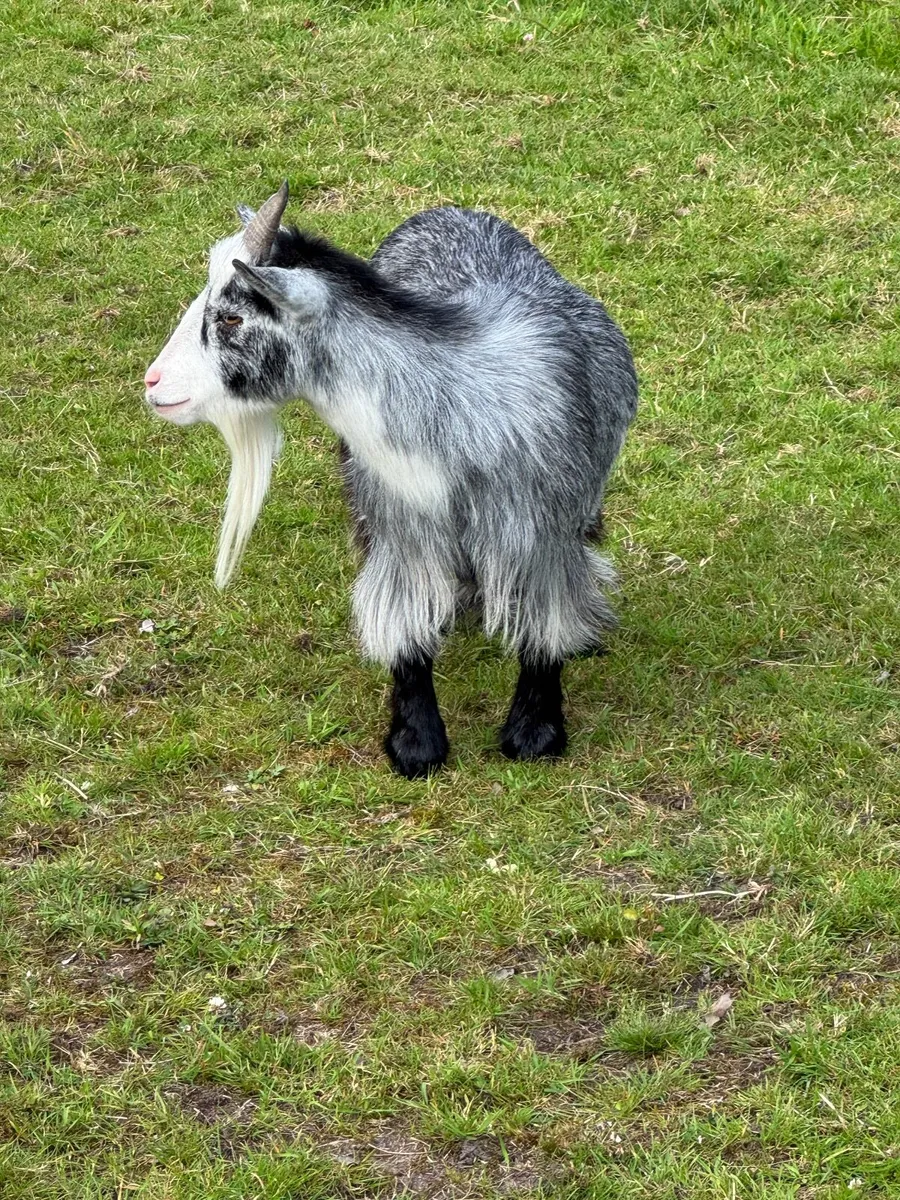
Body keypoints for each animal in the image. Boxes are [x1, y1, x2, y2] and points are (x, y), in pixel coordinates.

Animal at [144, 183, 638, 777]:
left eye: (232, 319)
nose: (154, 382)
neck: (456, 417)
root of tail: (448, 211)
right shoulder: (398, 522)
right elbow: (402, 620)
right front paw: (415, 742)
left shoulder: (539, 534)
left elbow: (546, 625)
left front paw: (535, 733)